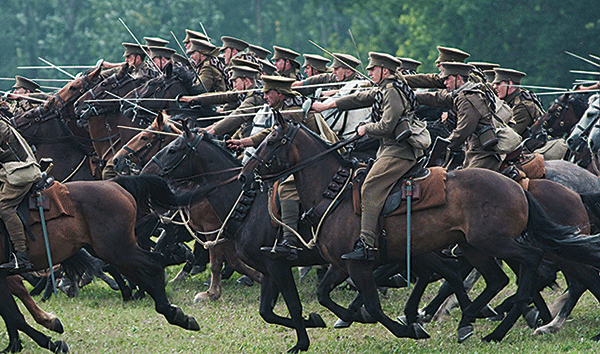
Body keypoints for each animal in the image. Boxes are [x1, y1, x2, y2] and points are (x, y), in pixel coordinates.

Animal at [0, 176, 202, 352]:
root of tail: (113, 183)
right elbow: (11, 313)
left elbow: (14, 316)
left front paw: (54, 343)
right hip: (110, 251)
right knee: (145, 270)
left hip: (117, 249)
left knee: (154, 265)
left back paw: (173, 313)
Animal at [238, 116, 584, 346]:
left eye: (271, 141)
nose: (244, 173)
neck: (332, 192)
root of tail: (518, 186)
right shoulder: (341, 264)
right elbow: (324, 296)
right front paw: (328, 319)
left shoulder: (358, 265)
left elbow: (373, 306)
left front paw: (406, 328)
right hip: (473, 247)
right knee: (496, 279)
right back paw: (476, 320)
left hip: (496, 243)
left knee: (532, 260)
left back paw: (495, 320)